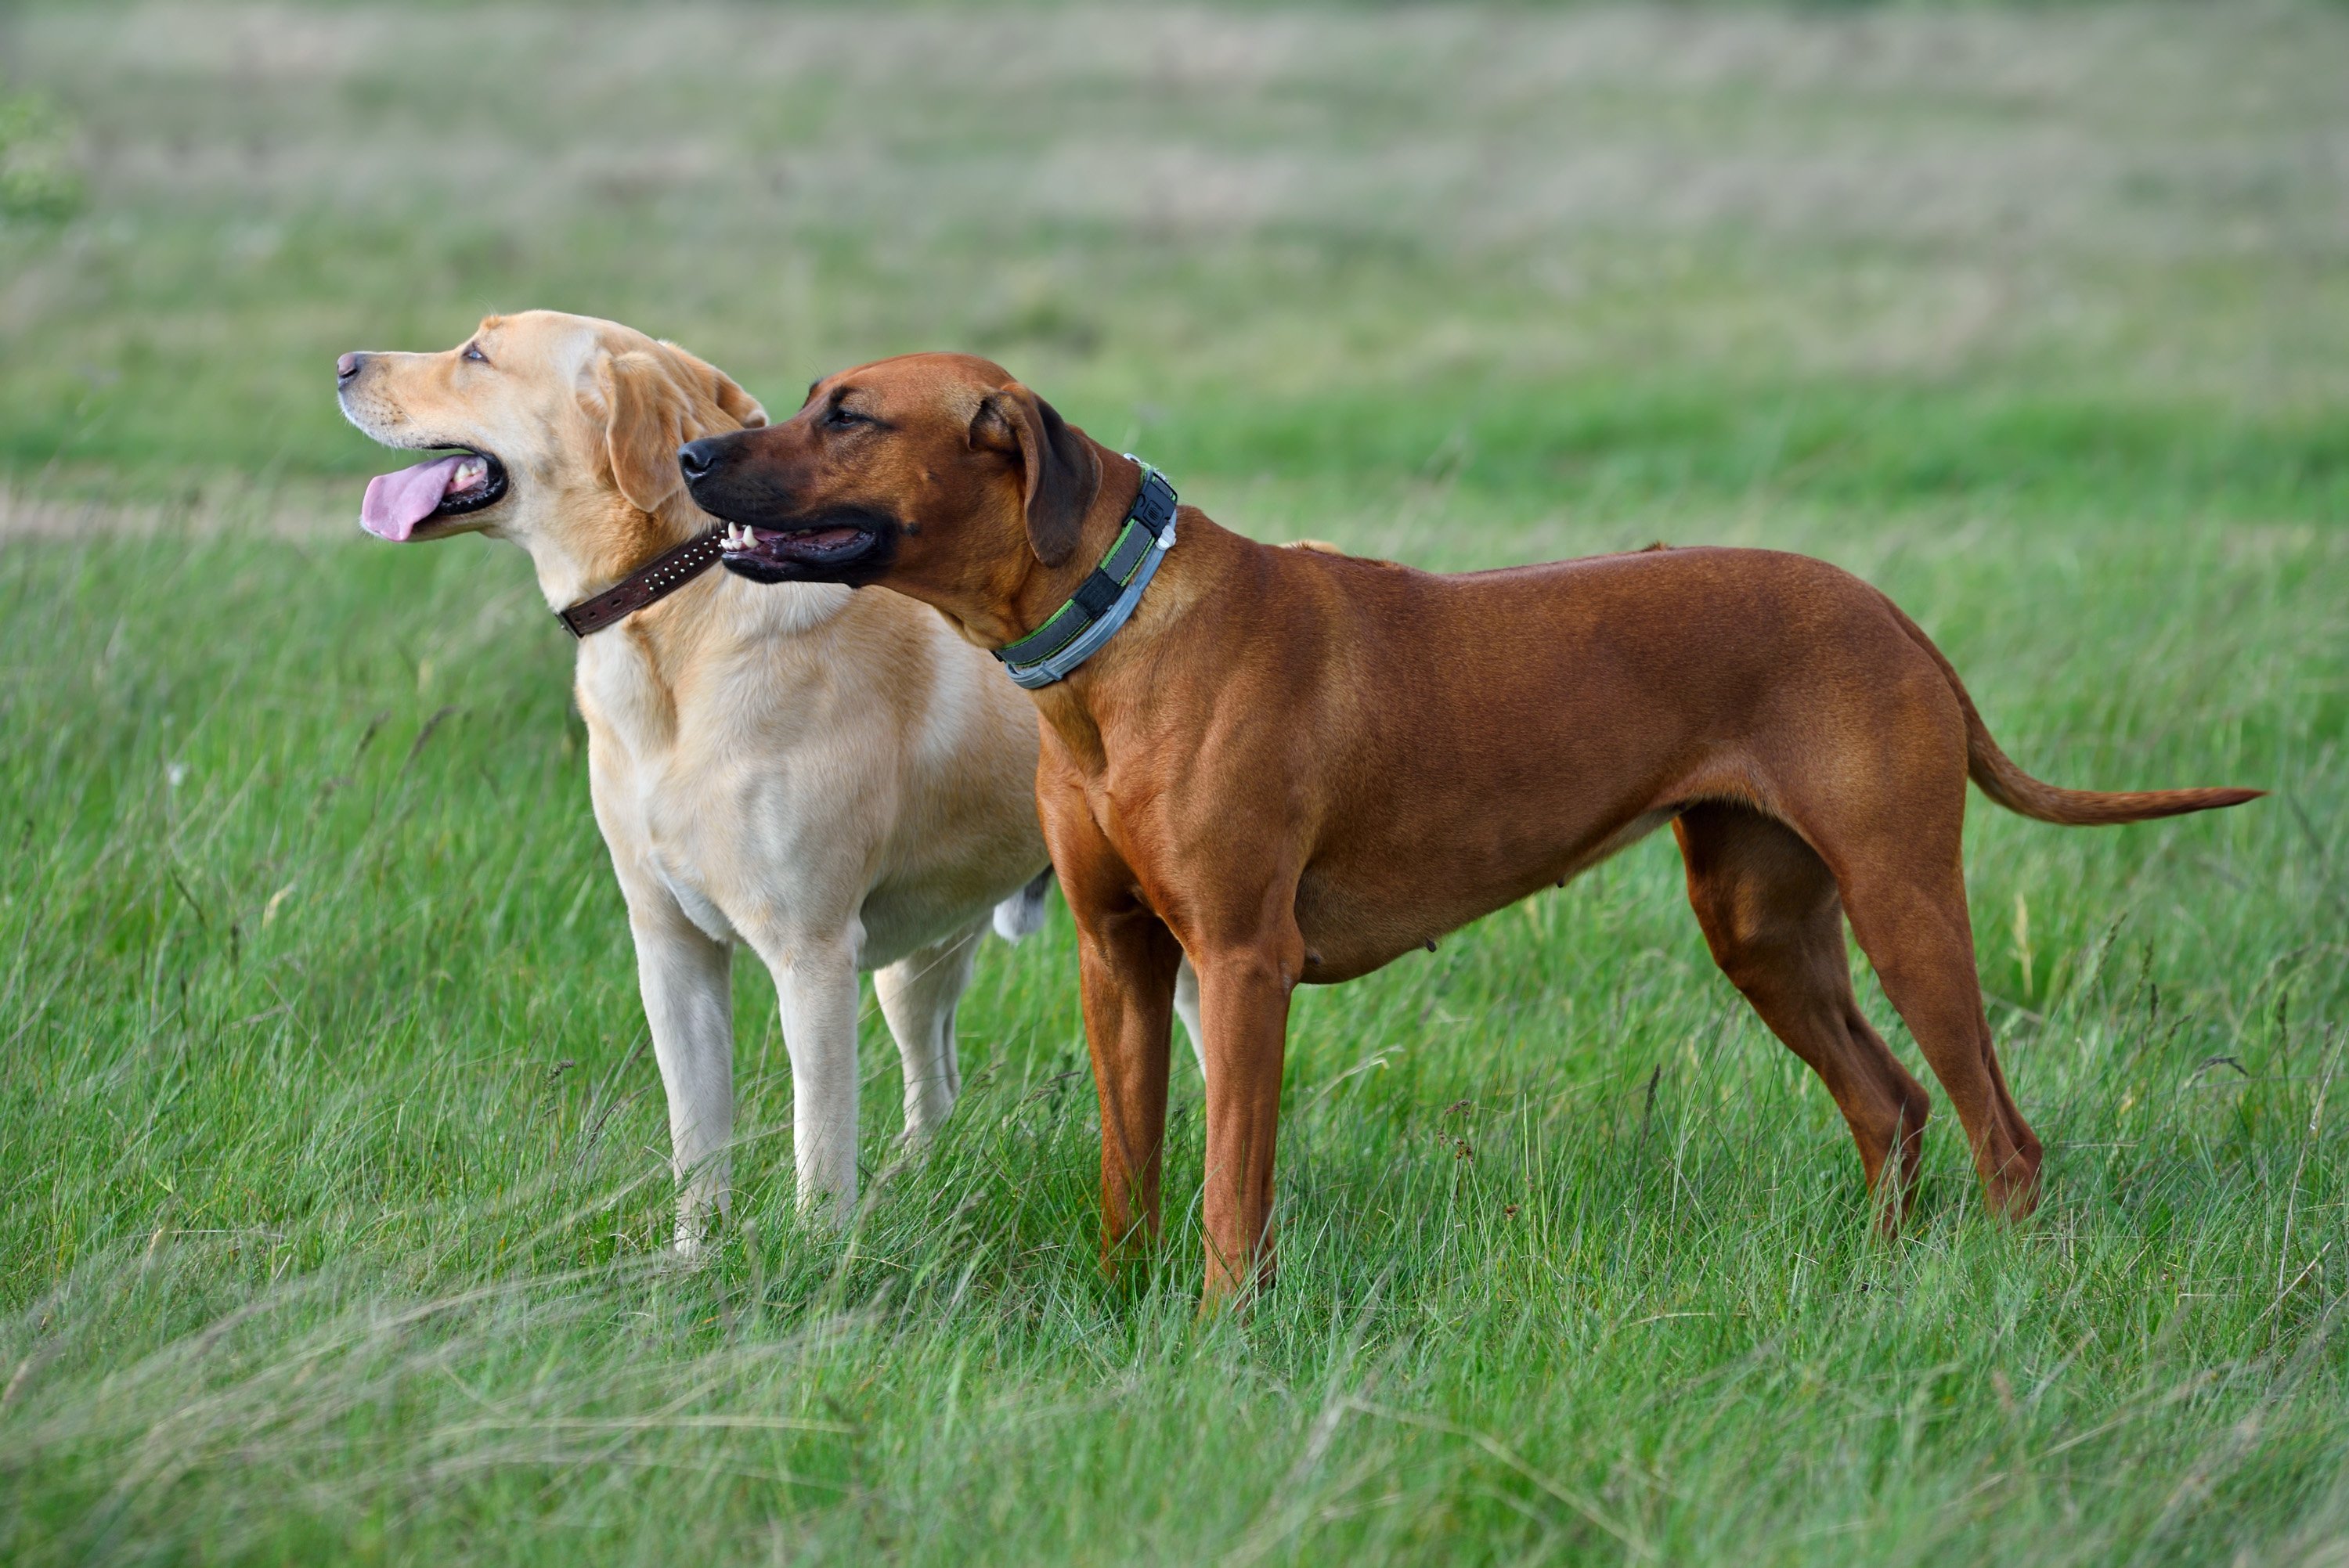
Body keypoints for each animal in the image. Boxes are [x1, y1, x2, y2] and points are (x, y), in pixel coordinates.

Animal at [681, 351, 2255, 1296]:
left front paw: (1224, 1319)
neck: (1116, 631)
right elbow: (1133, 1163)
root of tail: (1892, 614)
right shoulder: (1118, 956)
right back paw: (1879, 1275)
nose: (695, 460)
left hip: (1903, 897)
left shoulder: (1242, 962)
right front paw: (1125, 1302)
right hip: (1762, 924)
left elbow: (1231, 1178)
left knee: (2004, 1132)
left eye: (848, 413)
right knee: (1895, 1103)